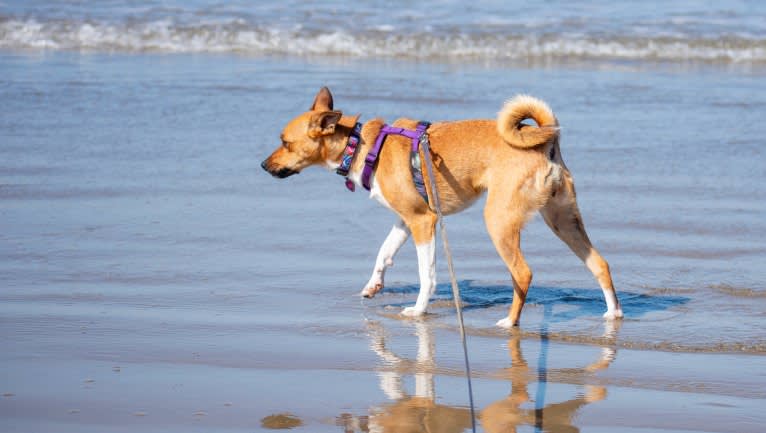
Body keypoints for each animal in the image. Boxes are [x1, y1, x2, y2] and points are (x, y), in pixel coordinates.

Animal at [264, 86, 624, 326]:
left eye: (285, 143)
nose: (263, 166)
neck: (363, 146)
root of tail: (544, 144)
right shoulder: (405, 220)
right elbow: (384, 252)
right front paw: (373, 286)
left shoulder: (424, 222)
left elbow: (428, 274)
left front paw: (419, 310)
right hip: (563, 220)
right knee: (599, 264)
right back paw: (613, 314)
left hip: (499, 221)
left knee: (523, 273)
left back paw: (510, 322)